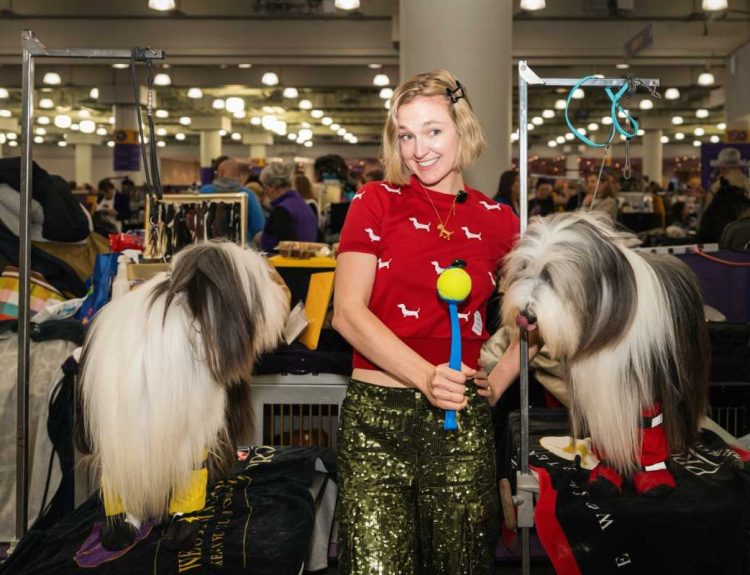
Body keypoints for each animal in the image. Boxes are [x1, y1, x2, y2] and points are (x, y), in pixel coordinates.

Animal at [500, 212, 709, 496]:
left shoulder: (641, 376)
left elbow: (647, 423)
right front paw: (607, 473)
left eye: (550, 277)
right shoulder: (599, 383)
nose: (526, 315)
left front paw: (653, 477)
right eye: (523, 269)